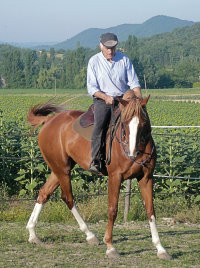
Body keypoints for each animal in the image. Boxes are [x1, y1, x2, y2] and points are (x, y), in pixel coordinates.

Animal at [25, 90, 171, 260]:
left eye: (143, 122)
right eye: (124, 123)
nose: (132, 153)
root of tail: (49, 120)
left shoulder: (146, 178)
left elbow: (150, 210)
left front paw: (160, 248)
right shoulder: (115, 177)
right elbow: (112, 210)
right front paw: (110, 247)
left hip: (59, 169)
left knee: (44, 193)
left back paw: (33, 234)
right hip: (62, 170)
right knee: (68, 198)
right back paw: (90, 235)